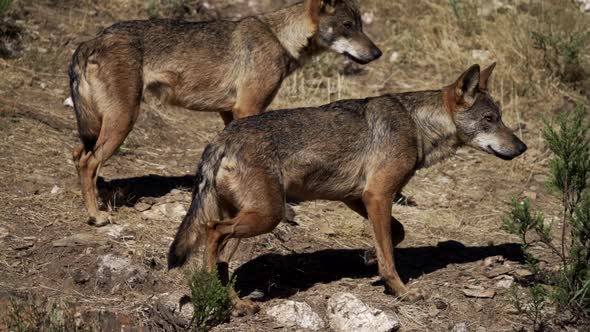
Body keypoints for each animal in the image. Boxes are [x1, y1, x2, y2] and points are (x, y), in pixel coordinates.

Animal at [69, 0, 384, 226]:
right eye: (347, 25)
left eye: (360, 25)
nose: (377, 53)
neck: (280, 38)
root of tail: (89, 41)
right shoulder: (248, 108)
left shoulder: (228, 112)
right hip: (124, 120)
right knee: (88, 161)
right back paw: (96, 217)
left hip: (101, 125)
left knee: (78, 154)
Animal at [168, 62, 532, 314]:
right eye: (489, 120)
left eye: (500, 117)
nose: (522, 147)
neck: (416, 124)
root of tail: (222, 138)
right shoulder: (378, 195)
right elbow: (390, 253)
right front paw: (401, 290)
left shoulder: (358, 197)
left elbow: (396, 234)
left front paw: (370, 257)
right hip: (266, 216)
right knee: (212, 233)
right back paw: (215, 294)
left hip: (252, 219)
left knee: (221, 256)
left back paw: (234, 301)